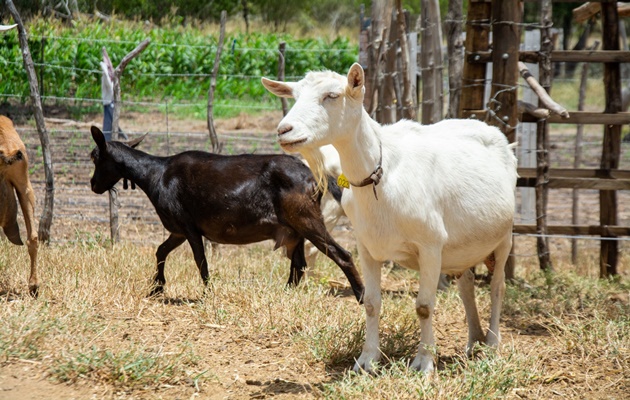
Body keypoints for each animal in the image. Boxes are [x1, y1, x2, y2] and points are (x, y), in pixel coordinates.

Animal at [89, 126, 366, 302]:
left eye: (94, 157)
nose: (92, 185)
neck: (156, 174)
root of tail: (314, 177)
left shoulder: (188, 226)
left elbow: (200, 261)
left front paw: (207, 293)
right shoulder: (178, 230)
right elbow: (160, 251)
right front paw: (157, 288)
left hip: (306, 218)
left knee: (341, 254)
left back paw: (362, 296)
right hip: (294, 229)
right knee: (298, 265)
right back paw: (286, 294)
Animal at [264, 64, 520, 374]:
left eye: (332, 95)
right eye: (294, 95)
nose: (284, 130)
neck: (381, 176)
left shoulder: (431, 245)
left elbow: (424, 306)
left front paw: (424, 362)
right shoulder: (367, 247)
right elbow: (371, 303)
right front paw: (366, 360)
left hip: (504, 237)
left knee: (497, 287)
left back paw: (492, 343)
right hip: (463, 247)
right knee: (467, 285)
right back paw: (474, 341)